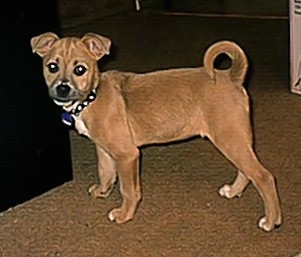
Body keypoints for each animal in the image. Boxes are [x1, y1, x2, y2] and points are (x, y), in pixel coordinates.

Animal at [30, 32, 282, 232]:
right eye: (52, 67)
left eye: (80, 69)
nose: (62, 88)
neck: (93, 95)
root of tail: (232, 77)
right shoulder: (104, 149)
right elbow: (105, 172)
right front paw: (102, 191)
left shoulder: (127, 155)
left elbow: (128, 189)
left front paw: (124, 215)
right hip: (236, 138)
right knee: (247, 171)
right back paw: (234, 191)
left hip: (229, 137)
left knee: (264, 176)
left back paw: (271, 220)